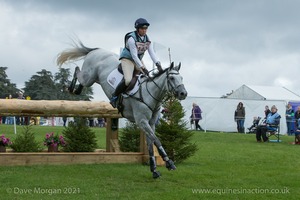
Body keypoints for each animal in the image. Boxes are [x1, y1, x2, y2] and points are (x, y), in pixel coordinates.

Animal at [56, 41, 188, 178]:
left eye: (181, 78)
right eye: (172, 78)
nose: (183, 93)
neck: (150, 93)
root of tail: (96, 50)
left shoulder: (150, 123)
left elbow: (151, 143)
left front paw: (154, 169)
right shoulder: (142, 121)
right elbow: (156, 140)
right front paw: (169, 163)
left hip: (95, 79)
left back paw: (76, 89)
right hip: (89, 77)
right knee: (77, 71)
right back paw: (71, 88)